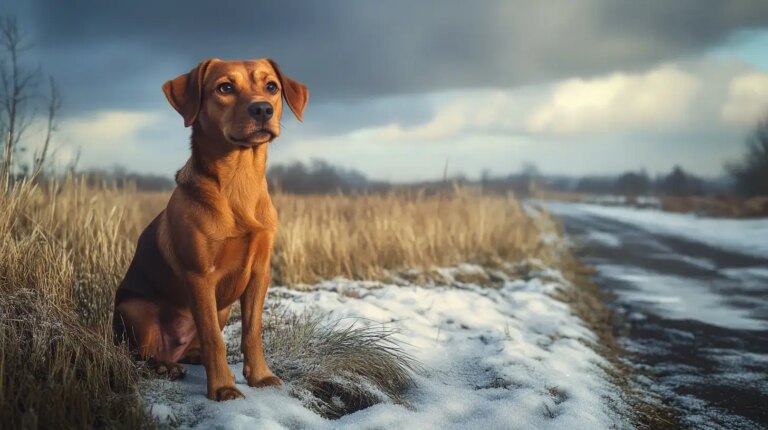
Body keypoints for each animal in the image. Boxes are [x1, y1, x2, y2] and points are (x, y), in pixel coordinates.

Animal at [112, 58, 308, 402]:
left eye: (271, 86)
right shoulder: (200, 276)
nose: (262, 109)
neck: (239, 182)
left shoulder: (260, 272)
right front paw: (222, 387)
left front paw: (260, 376)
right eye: (225, 87)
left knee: (194, 346)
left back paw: (192, 356)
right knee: (141, 354)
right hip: (135, 309)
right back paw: (165, 366)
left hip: (224, 308)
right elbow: (214, 339)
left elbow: (252, 331)